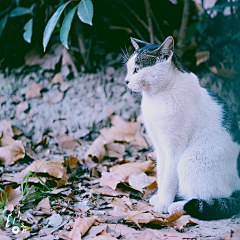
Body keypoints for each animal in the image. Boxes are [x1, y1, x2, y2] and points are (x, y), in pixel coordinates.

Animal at [124, 36, 240, 219]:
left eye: (136, 69)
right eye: (128, 69)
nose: (126, 81)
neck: (156, 98)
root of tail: (238, 186)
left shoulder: (174, 150)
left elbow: (169, 179)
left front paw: (164, 203)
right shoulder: (159, 147)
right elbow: (161, 174)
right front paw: (159, 197)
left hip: (190, 159)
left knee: (207, 197)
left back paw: (177, 206)